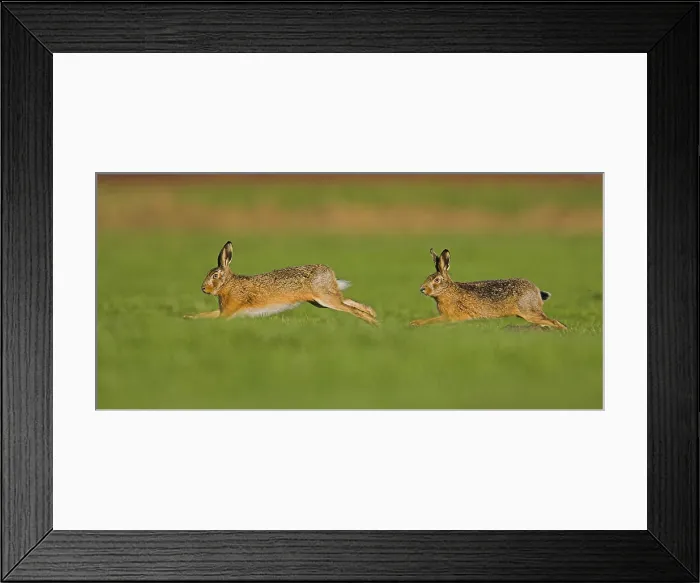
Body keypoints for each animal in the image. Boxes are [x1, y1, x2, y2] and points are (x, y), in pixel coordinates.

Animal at [183, 241, 377, 325]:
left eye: (215, 275)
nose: (203, 288)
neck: (229, 285)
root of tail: (330, 272)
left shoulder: (229, 311)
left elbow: (214, 318)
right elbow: (206, 314)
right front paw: (188, 317)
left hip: (325, 299)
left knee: (350, 308)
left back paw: (372, 323)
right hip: (321, 301)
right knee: (350, 302)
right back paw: (375, 318)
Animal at [410, 248, 567, 329]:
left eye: (436, 280)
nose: (422, 289)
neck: (448, 291)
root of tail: (536, 291)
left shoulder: (449, 317)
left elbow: (432, 321)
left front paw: (414, 323)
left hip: (528, 311)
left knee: (554, 322)